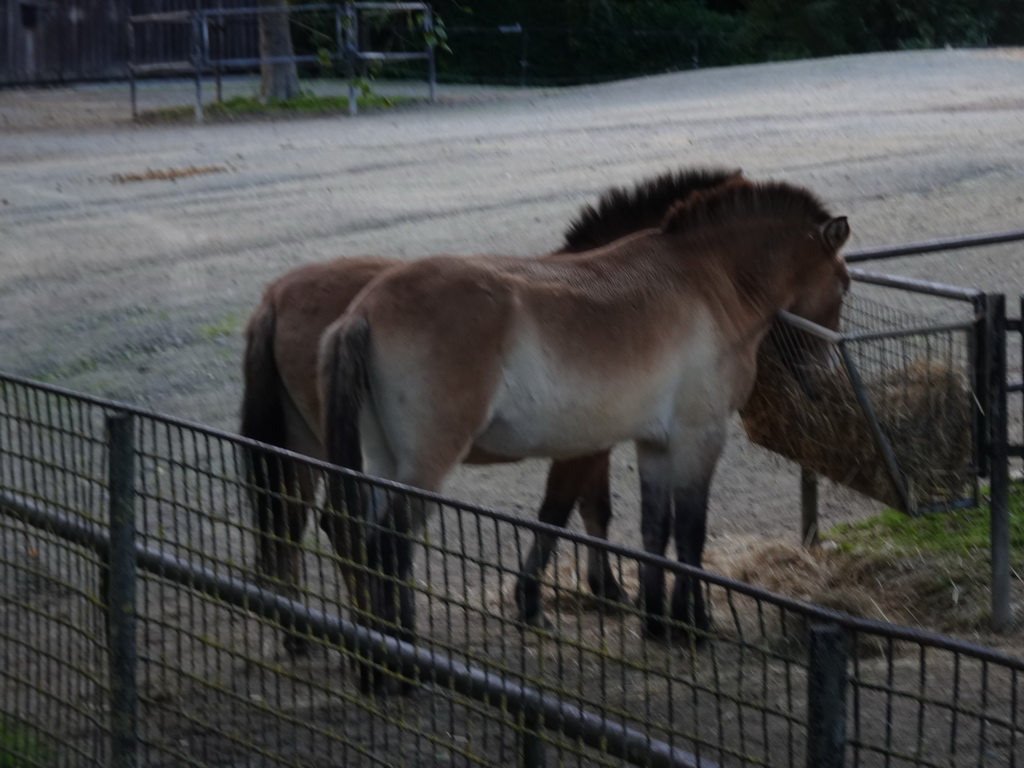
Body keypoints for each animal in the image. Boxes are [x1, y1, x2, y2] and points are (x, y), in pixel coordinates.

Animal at [243, 166, 749, 651]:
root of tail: (276, 296)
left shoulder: (595, 441)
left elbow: (592, 510)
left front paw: (604, 589)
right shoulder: (584, 446)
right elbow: (562, 511)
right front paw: (542, 599)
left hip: (304, 447)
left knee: (294, 522)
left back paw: (304, 633)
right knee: (341, 526)